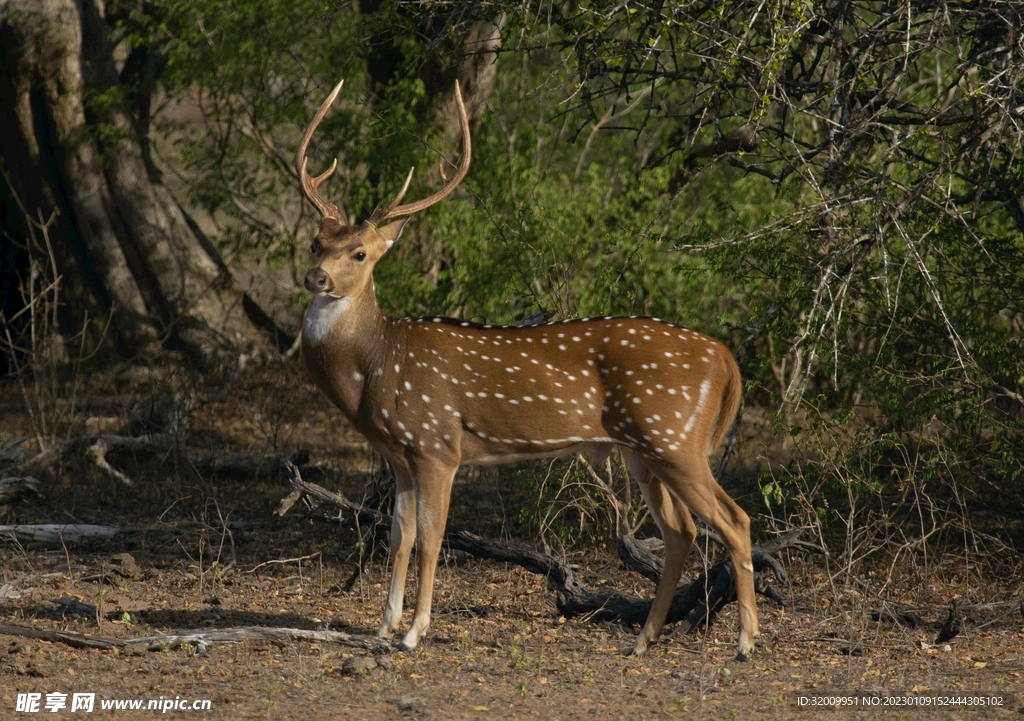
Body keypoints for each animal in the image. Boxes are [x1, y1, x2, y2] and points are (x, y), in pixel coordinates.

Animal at [295, 79, 758, 660]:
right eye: (316, 243)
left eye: (360, 253)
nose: (315, 277)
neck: (377, 367)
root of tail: (724, 357)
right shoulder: (399, 455)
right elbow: (398, 536)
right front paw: (383, 626)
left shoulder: (437, 442)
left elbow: (432, 539)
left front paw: (413, 632)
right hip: (644, 450)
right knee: (682, 532)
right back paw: (642, 640)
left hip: (674, 438)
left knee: (735, 521)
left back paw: (744, 642)